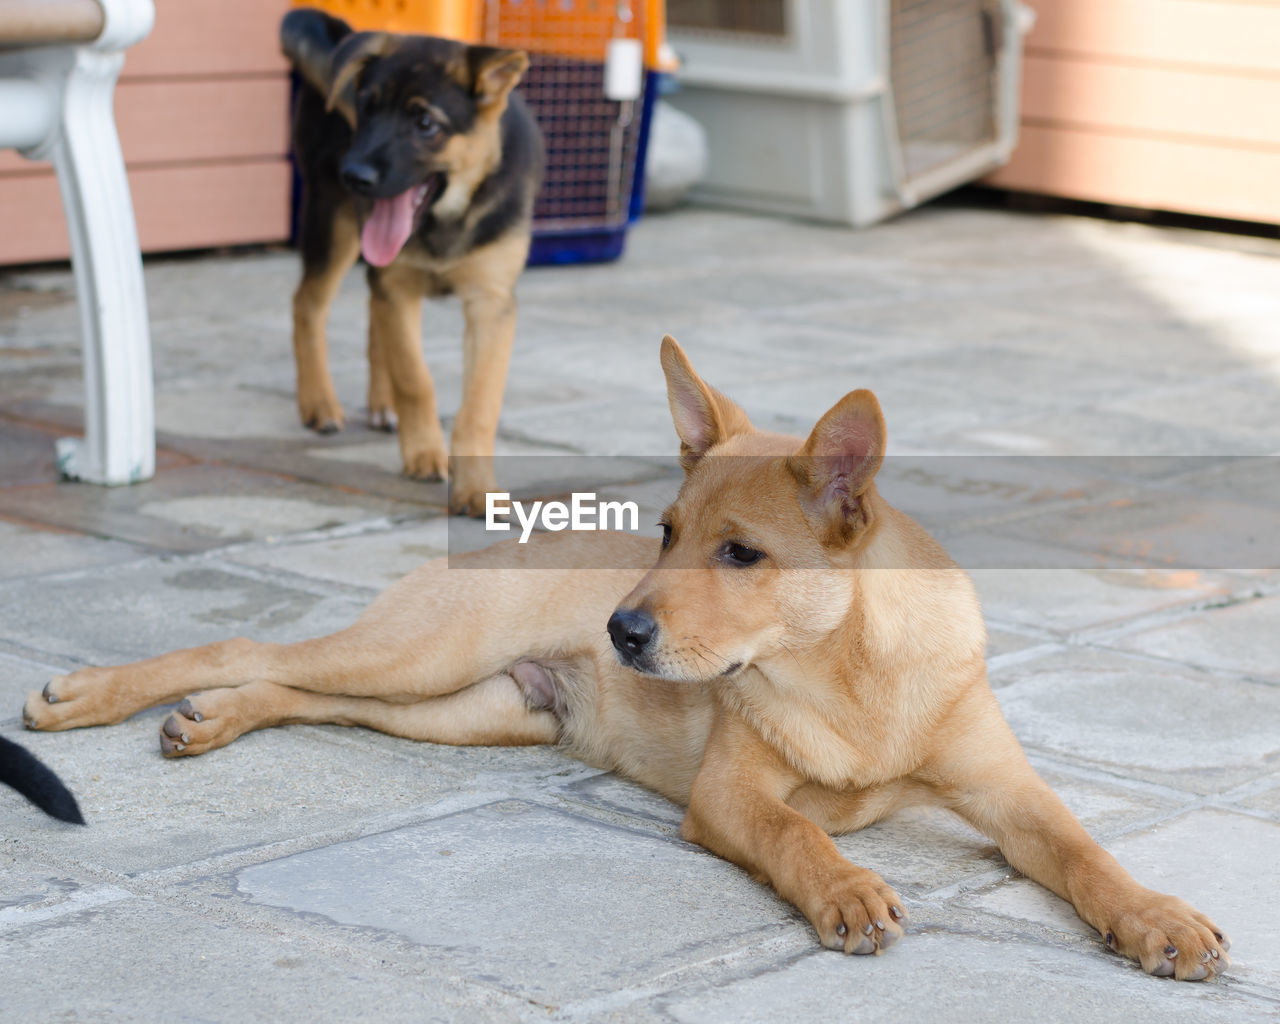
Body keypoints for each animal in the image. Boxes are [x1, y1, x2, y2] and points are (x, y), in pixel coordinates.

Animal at [24, 340, 1223, 977]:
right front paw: (844, 889)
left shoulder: (1012, 794)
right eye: (664, 531)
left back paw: (210, 717)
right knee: (252, 644)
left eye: (739, 553)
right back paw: (98, 694)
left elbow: (1086, 852)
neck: (853, 675)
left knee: (294, 687)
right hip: (421, 658)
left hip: (460, 710)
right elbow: (796, 832)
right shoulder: (730, 796)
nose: (619, 631)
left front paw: (1155, 916)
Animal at [282, 10, 542, 512]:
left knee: (369, 312)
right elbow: (414, 377)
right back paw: (319, 403)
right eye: (366, 109)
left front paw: (477, 487)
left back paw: (381, 405)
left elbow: (480, 403)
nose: (354, 175)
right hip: (333, 223)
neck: (444, 217)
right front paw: (423, 454)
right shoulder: (398, 285)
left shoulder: (491, 302)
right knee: (308, 303)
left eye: (425, 123)